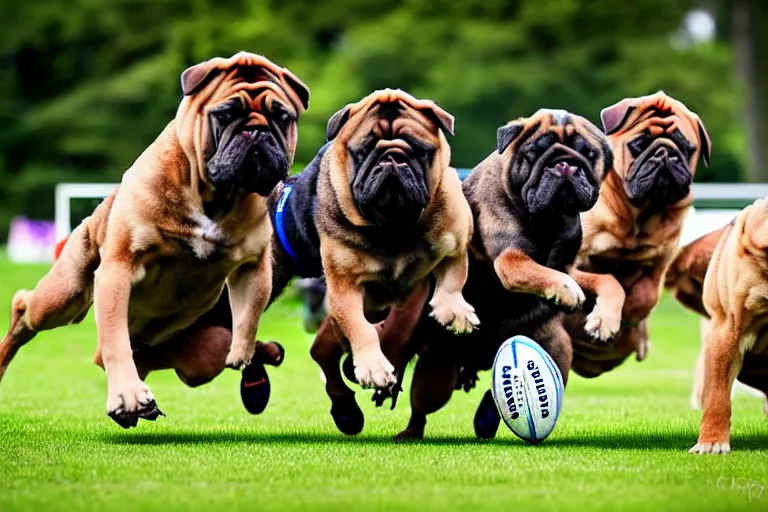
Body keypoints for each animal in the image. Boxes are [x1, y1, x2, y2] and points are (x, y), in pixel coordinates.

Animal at [0, 52, 306, 428]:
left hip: (199, 354)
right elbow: (116, 340)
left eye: (283, 117)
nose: (257, 130)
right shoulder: (119, 267)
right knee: (28, 309)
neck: (214, 195)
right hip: (63, 296)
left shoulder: (253, 265)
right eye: (224, 114)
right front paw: (128, 396)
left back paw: (266, 354)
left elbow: (248, 315)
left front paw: (243, 353)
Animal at [568, 92, 712, 378]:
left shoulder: (657, 269)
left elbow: (645, 298)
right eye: (639, 144)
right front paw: (606, 320)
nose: (665, 153)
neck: (640, 212)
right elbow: (609, 280)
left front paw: (623, 319)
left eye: (685, 147)